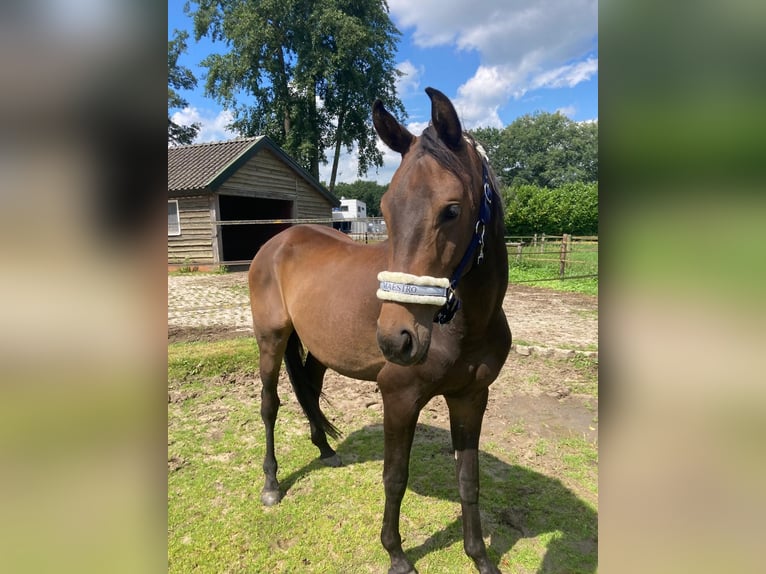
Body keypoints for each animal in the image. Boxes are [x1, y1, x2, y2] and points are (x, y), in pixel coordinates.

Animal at [249, 86, 512, 574]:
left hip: (318, 350)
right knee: (270, 406)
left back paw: (325, 450)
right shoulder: (400, 398)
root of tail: (276, 242)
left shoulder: (471, 398)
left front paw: (480, 558)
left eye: (452, 210)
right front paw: (396, 553)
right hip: (271, 342)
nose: (396, 338)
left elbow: (469, 480)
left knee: (310, 391)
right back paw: (272, 484)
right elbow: (395, 477)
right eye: (387, 209)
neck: (466, 325)